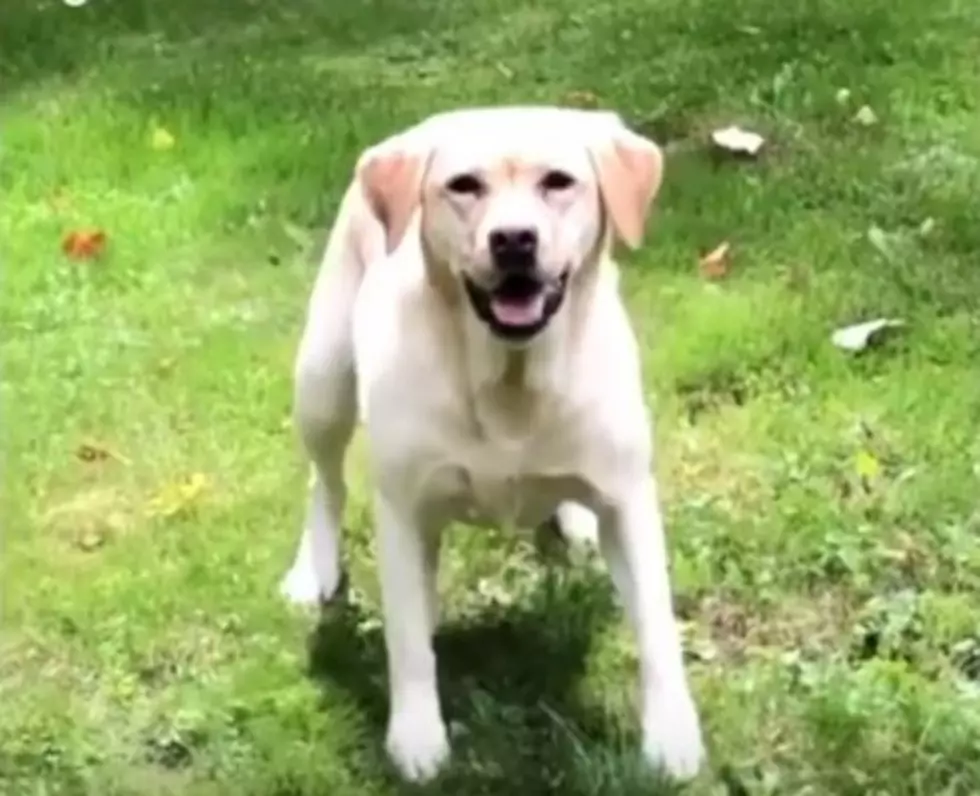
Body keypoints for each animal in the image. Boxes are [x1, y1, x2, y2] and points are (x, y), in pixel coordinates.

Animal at [282, 105, 704, 784]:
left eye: (558, 182)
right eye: (464, 186)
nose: (513, 240)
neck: (512, 379)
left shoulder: (630, 499)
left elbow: (657, 625)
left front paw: (672, 736)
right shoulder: (404, 513)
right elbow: (408, 640)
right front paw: (417, 738)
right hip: (323, 376)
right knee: (325, 480)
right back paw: (311, 569)